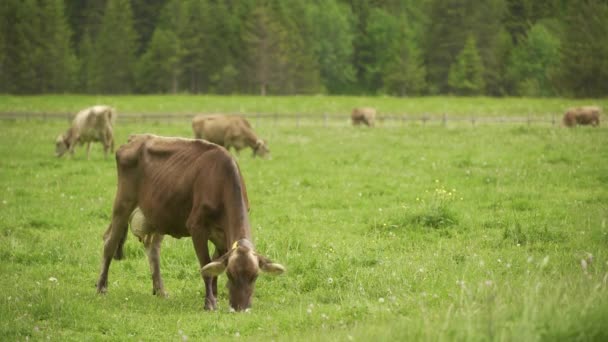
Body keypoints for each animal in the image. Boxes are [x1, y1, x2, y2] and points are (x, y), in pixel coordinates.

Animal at [95, 135, 284, 312]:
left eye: (255, 276)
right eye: (230, 275)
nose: (240, 308)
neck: (220, 182)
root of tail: (136, 137)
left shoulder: (222, 236)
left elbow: (213, 265)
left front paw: (215, 296)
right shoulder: (197, 228)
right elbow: (205, 266)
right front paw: (209, 303)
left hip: (160, 214)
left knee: (153, 249)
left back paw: (160, 290)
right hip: (123, 203)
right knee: (110, 242)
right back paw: (101, 287)